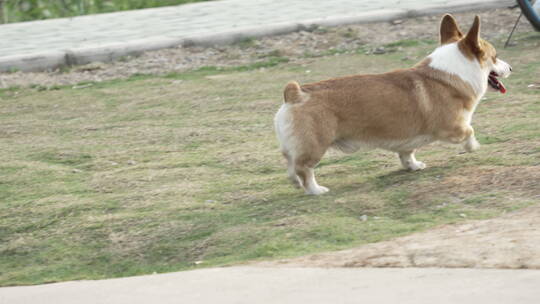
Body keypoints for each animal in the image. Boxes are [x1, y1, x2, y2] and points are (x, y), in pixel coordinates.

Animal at [274, 14, 510, 195]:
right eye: (495, 57)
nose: (511, 68)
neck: (454, 71)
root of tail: (296, 93)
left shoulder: (408, 138)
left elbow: (407, 153)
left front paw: (413, 166)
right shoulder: (452, 127)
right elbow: (470, 131)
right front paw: (472, 147)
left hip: (296, 146)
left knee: (290, 163)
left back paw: (295, 182)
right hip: (316, 146)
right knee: (304, 169)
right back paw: (315, 190)